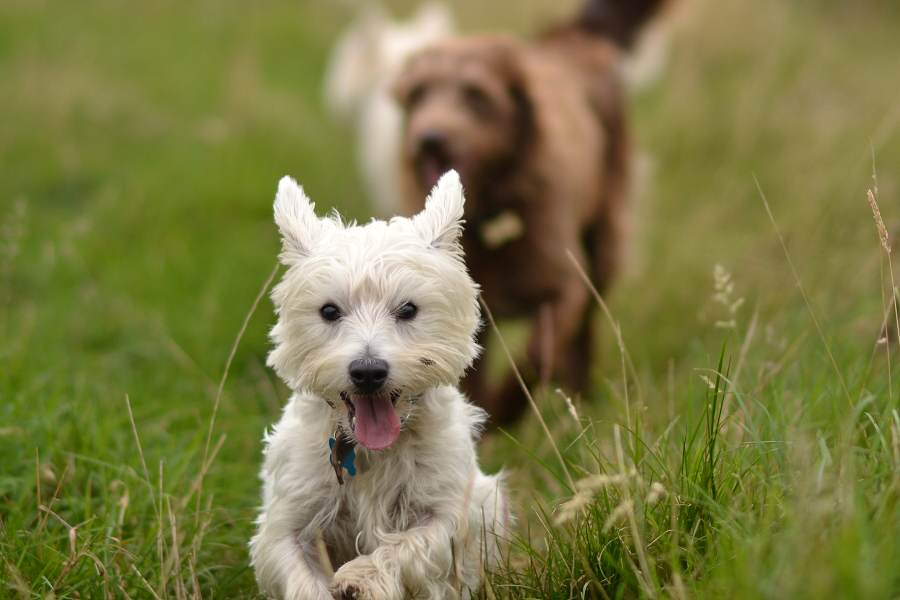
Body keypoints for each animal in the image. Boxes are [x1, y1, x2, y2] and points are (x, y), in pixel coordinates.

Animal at [250, 171, 510, 596]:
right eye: (329, 311)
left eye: (408, 309)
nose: (368, 372)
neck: (372, 452)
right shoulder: (290, 518)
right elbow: (297, 570)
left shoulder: (449, 505)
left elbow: (414, 543)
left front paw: (361, 577)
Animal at [394, 0, 668, 424]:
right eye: (418, 94)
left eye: (476, 95)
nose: (429, 140)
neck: (491, 216)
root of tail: (572, 35)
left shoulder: (566, 285)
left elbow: (539, 353)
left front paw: (505, 410)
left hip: (603, 247)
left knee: (585, 330)